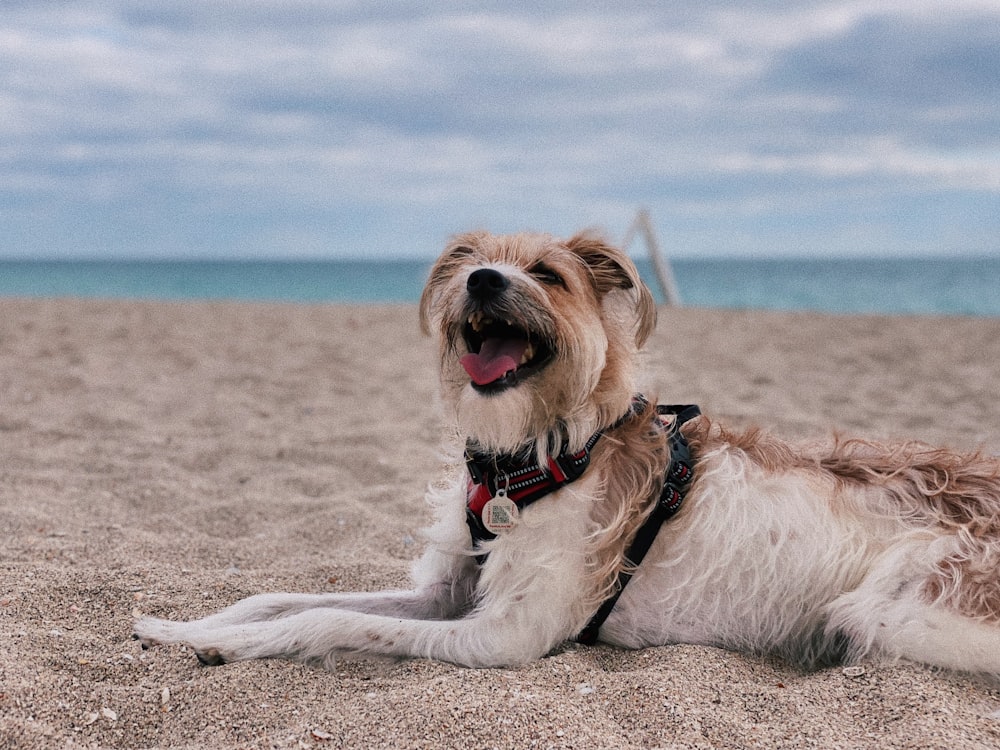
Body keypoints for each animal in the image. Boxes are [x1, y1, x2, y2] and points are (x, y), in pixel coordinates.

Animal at [137, 229, 1000, 676]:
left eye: (548, 274)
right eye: (469, 261)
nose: (484, 281)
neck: (530, 458)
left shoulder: (503, 636)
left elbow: (320, 622)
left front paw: (220, 644)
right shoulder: (448, 594)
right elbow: (281, 598)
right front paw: (183, 625)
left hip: (895, 609)